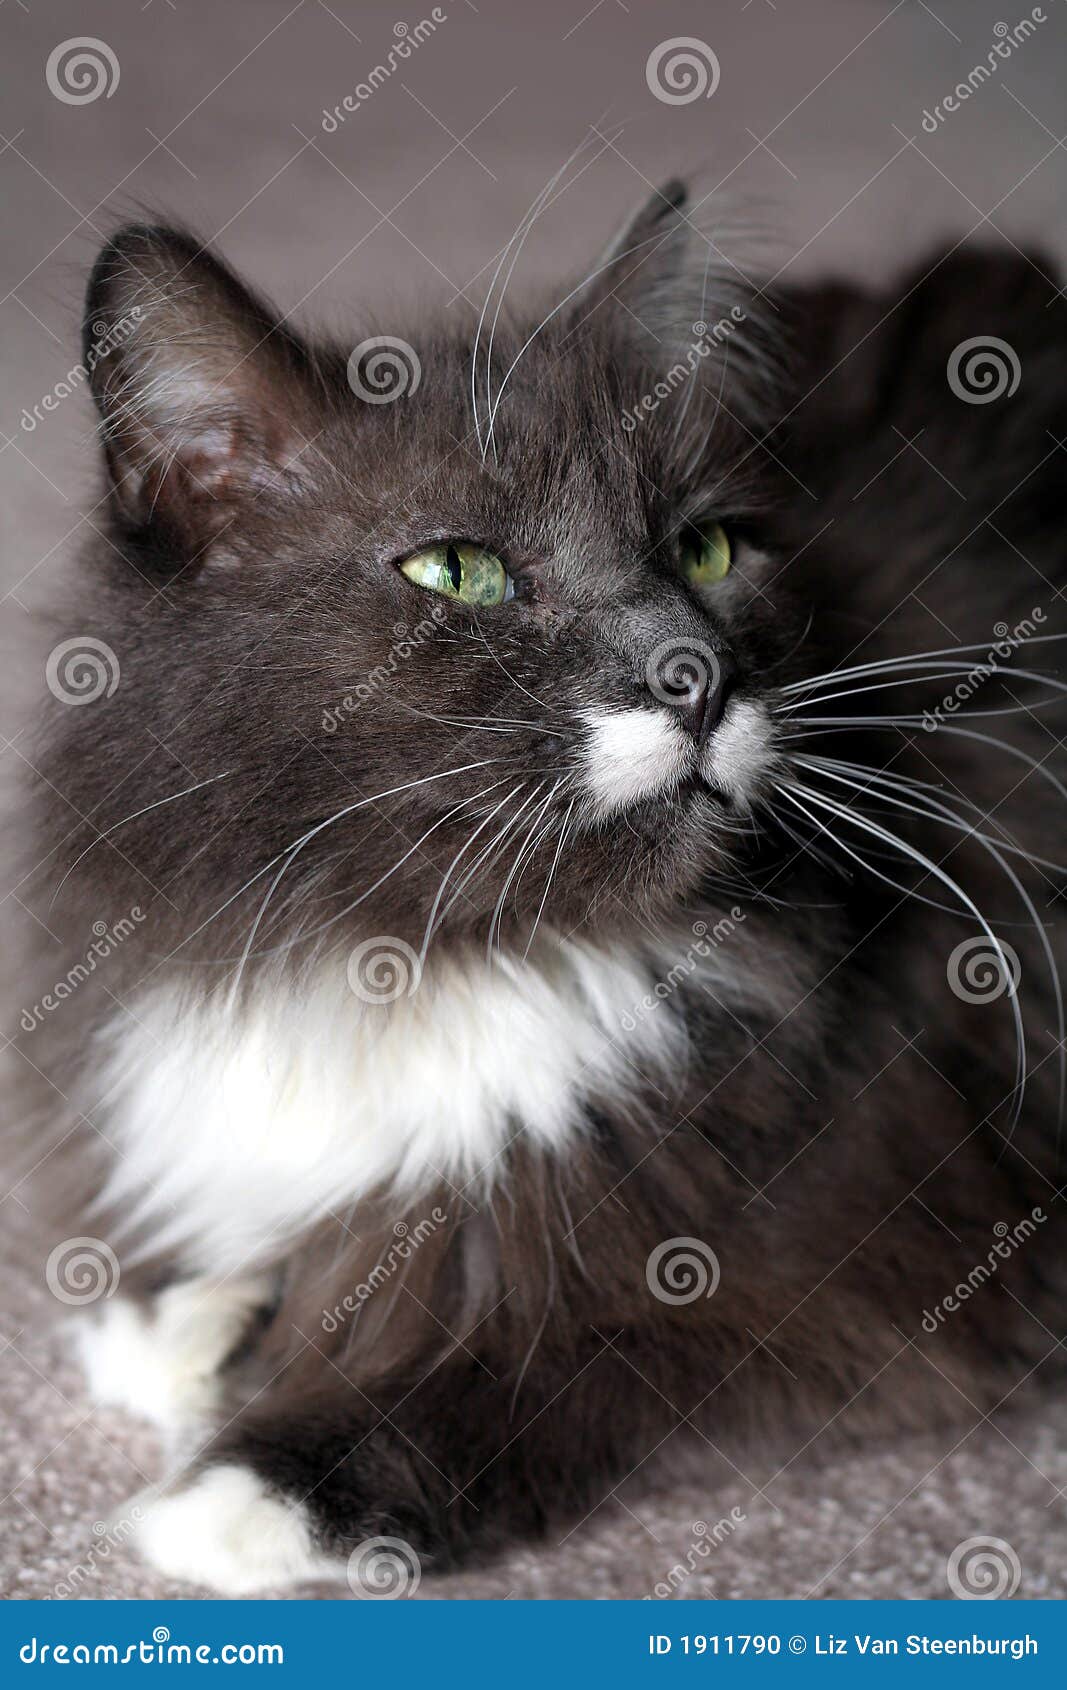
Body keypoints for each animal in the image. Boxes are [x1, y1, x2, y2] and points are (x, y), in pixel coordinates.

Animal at [14, 178, 1067, 1588]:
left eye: (706, 550)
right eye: (457, 572)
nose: (694, 672)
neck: (431, 952)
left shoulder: (875, 1265)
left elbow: (558, 1350)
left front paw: (263, 1484)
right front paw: (195, 1320)